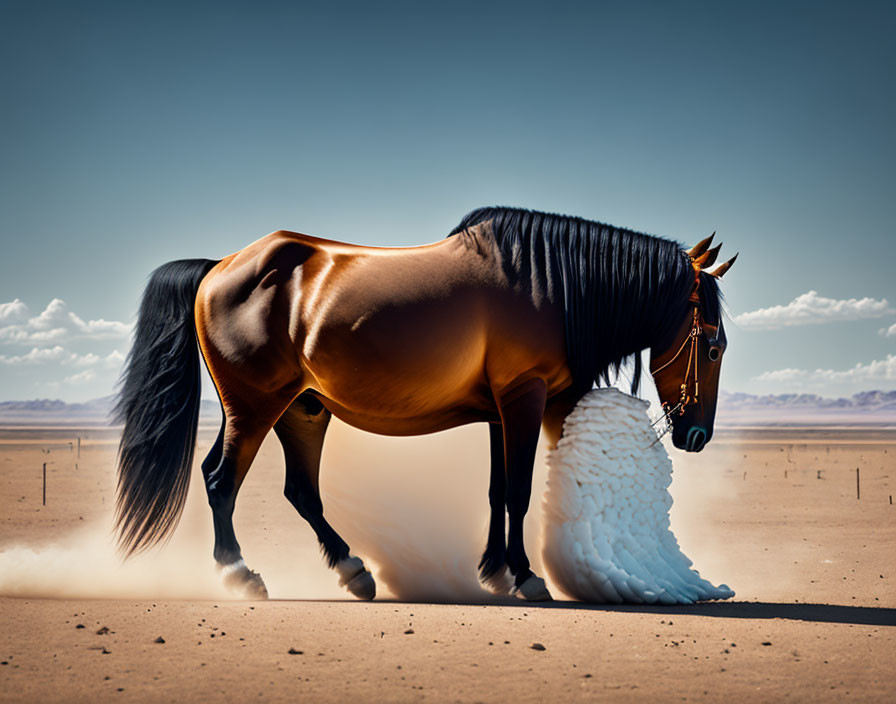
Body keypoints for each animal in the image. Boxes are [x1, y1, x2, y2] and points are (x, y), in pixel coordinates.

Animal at [115, 206, 736, 604]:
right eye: (713, 345)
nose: (697, 436)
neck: (548, 288)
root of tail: (219, 265)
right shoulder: (523, 397)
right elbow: (517, 490)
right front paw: (526, 577)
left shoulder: (500, 410)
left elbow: (496, 491)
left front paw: (493, 573)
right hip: (254, 406)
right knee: (221, 480)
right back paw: (240, 575)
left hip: (303, 409)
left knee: (299, 491)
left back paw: (354, 571)